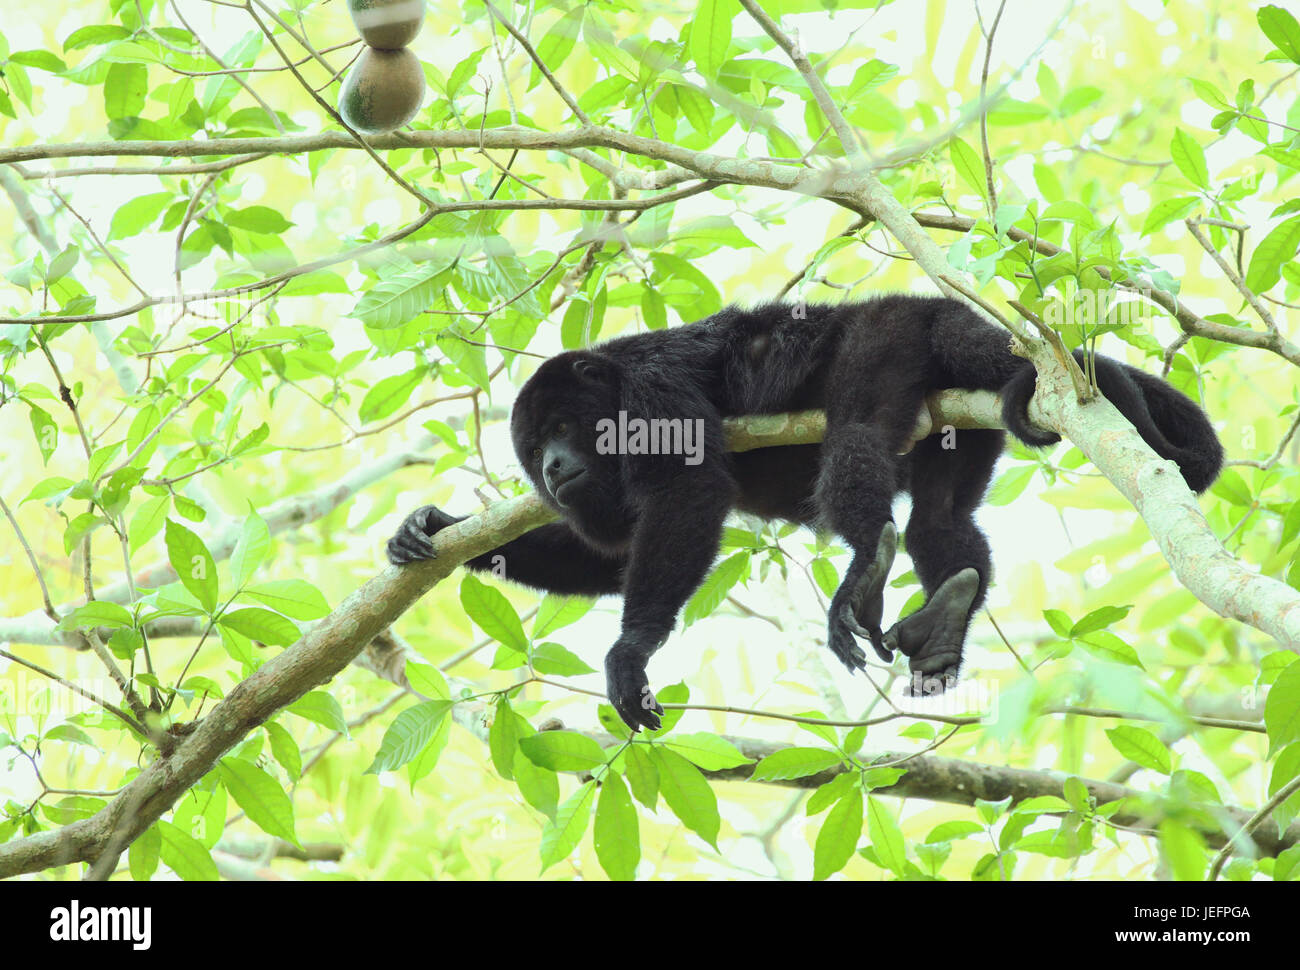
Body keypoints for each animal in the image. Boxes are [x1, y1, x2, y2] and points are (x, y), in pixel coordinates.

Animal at [382, 299, 1216, 728]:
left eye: (562, 426)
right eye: (534, 446)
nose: (552, 469)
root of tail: (932, 303)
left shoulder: (651, 393)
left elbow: (688, 493)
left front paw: (630, 654)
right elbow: (608, 555)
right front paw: (434, 528)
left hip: (886, 338)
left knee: (857, 438)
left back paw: (865, 570)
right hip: (963, 420)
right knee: (939, 518)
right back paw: (945, 622)